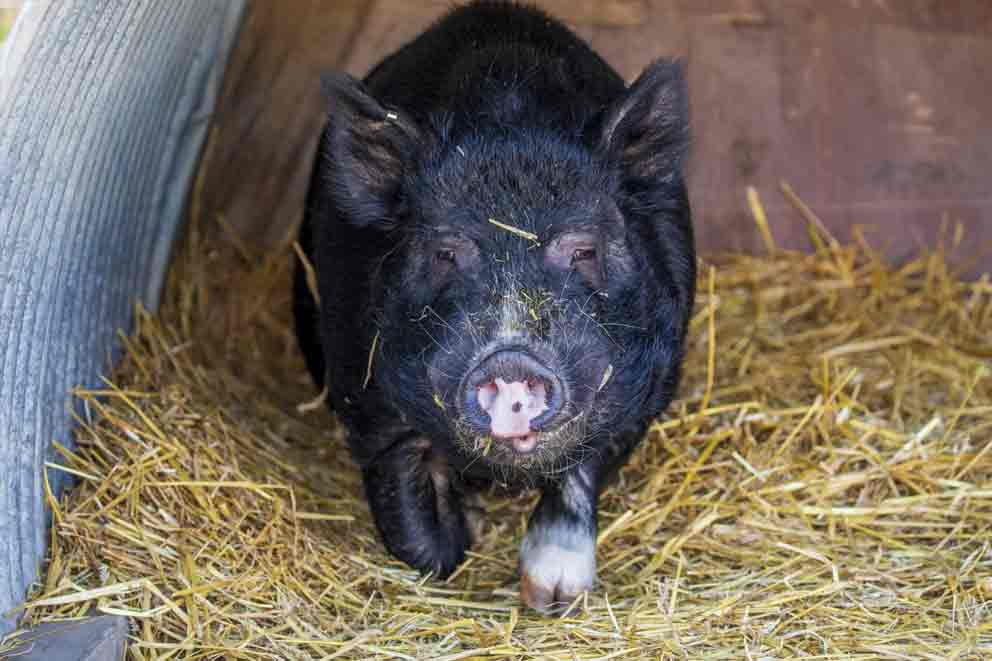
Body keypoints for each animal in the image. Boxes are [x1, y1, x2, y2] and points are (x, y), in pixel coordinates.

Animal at [294, 0, 695, 614]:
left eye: (584, 249)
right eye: (444, 253)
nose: (511, 360)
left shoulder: (647, 392)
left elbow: (579, 474)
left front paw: (553, 598)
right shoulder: (365, 398)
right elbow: (418, 536)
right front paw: (466, 532)